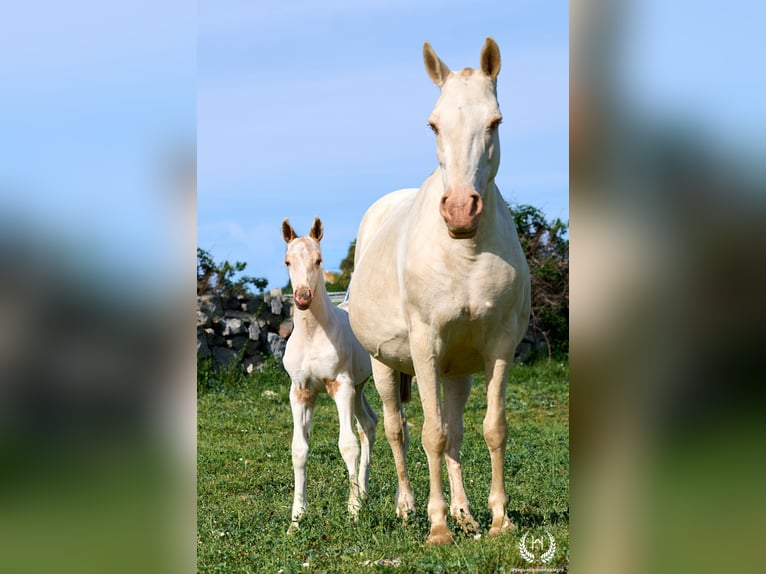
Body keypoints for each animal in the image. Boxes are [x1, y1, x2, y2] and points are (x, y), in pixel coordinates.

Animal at [281, 216, 377, 533]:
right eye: (287, 261)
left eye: (319, 260)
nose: (302, 297)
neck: (312, 335)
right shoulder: (300, 391)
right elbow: (299, 449)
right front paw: (296, 519)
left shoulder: (340, 386)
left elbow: (347, 445)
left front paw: (353, 513)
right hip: (360, 387)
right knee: (369, 424)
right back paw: (364, 493)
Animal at [347, 37, 531, 545]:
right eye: (433, 123)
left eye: (495, 121)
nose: (460, 211)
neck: (463, 255)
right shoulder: (425, 344)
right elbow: (429, 434)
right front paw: (437, 525)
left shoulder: (498, 346)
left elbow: (491, 429)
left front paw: (498, 519)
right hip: (386, 366)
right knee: (397, 430)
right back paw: (407, 507)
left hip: (456, 372)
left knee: (456, 432)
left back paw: (466, 514)